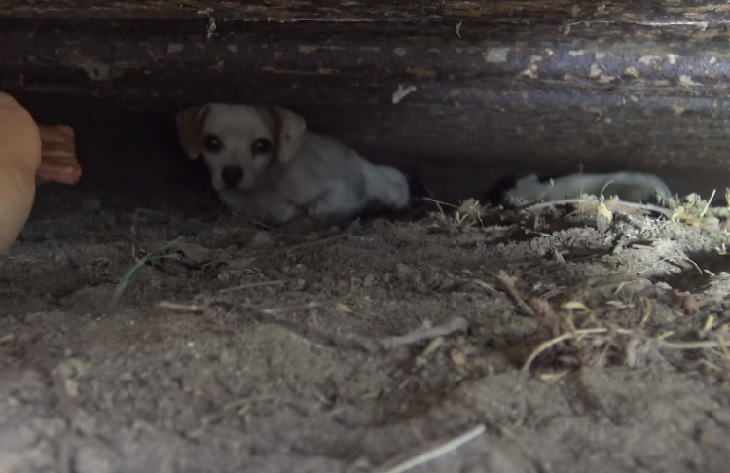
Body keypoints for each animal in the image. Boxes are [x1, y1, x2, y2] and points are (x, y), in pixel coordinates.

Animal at [173, 103, 406, 223]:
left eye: (262, 145)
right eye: (211, 142)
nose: (231, 173)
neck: (267, 185)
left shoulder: (342, 186)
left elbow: (322, 205)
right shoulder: (237, 203)